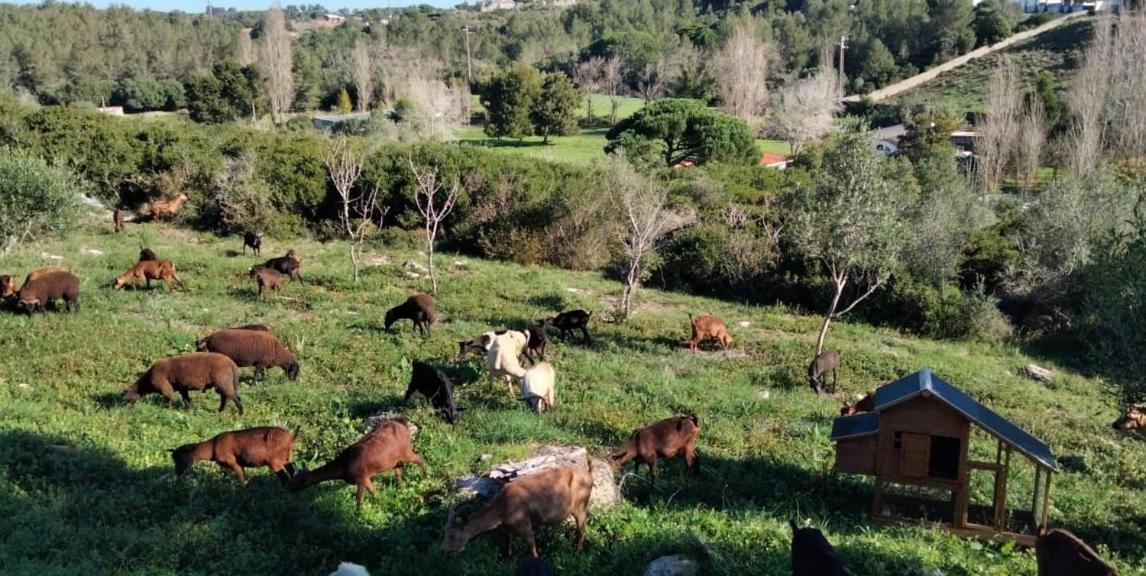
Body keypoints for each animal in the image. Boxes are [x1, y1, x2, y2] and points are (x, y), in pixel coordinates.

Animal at [288, 419, 428, 508]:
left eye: (297, 481)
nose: (288, 489)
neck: (343, 466)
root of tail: (404, 424)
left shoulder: (361, 477)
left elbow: (362, 498)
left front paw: (360, 515)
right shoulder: (363, 479)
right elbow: (369, 495)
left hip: (406, 450)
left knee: (419, 458)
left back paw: (427, 476)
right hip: (394, 460)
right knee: (399, 468)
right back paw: (401, 488)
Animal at [440, 464, 595, 558]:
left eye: (453, 534)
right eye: (445, 530)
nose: (445, 551)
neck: (502, 505)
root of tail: (589, 474)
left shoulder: (524, 523)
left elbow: (531, 547)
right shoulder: (508, 525)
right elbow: (508, 540)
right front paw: (508, 557)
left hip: (580, 507)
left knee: (582, 529)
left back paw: (578, 552)